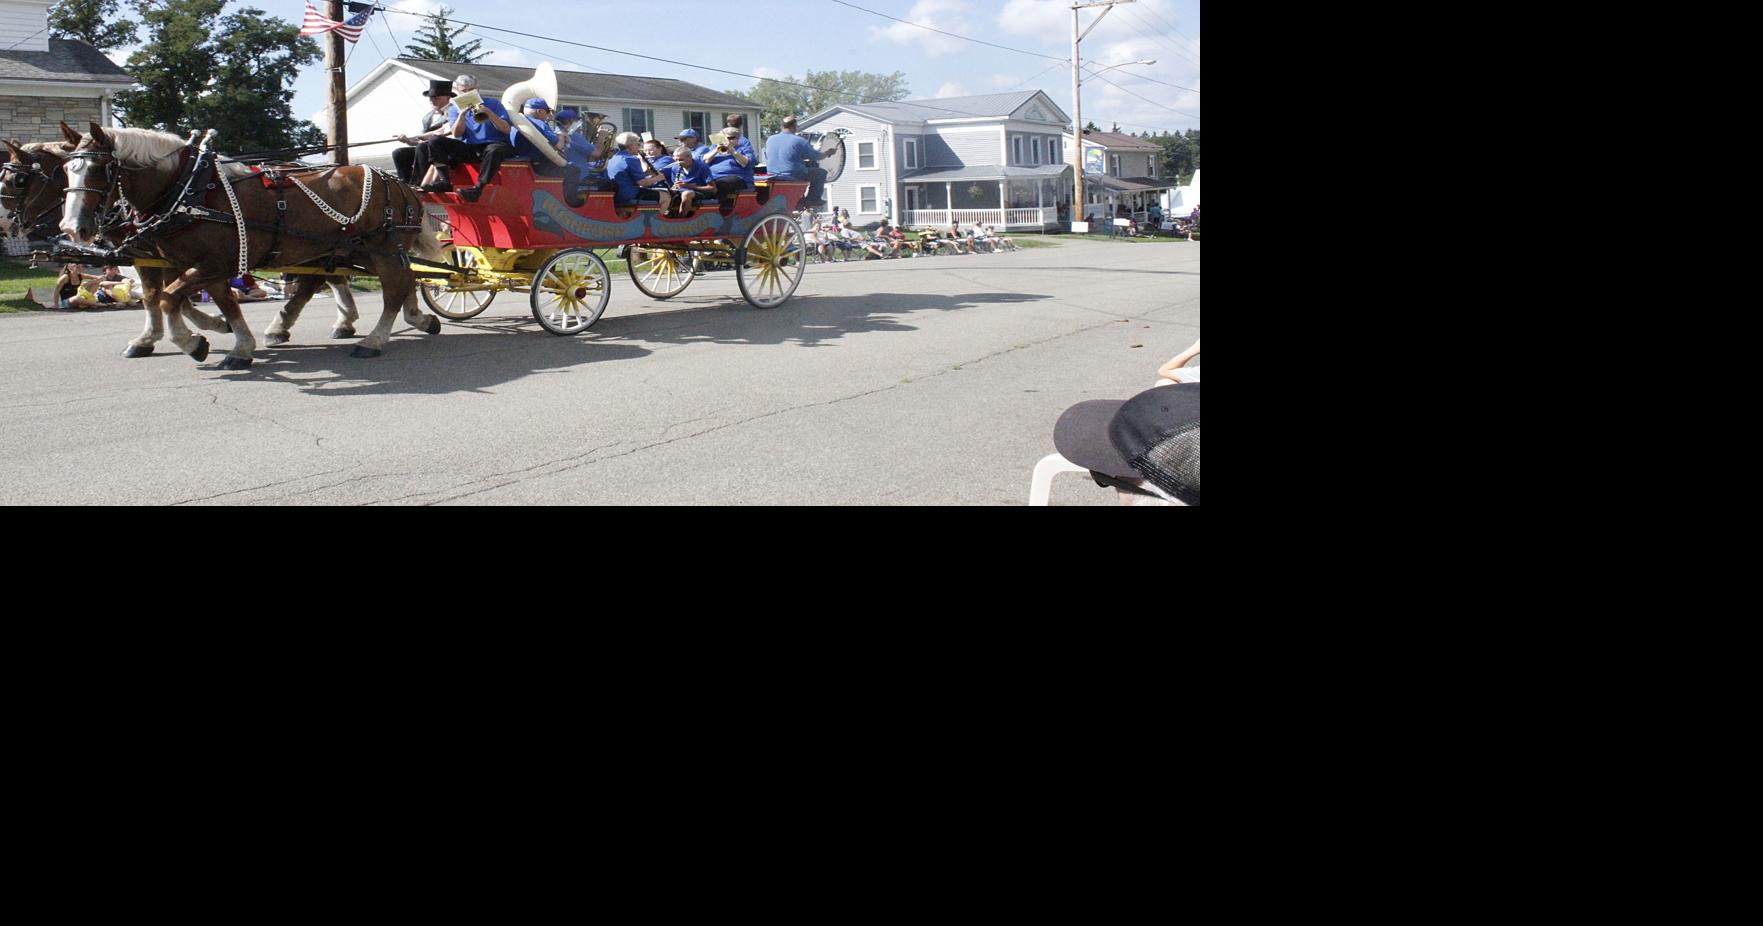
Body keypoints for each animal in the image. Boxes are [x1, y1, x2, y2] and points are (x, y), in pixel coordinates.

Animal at [1, 127, 359, 359]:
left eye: (18, 180)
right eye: (66, 171)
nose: (72, 228)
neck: (183, 189)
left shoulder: (200, 260)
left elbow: (174, 297)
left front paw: (204, 335)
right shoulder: (159, 256)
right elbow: (161, 296)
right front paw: (172, 335)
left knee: (317, 282)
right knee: (322, 280)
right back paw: (310, 324)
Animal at [61, 122, 447, 368]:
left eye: (100, 169)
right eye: (67, 170)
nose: (73, 228)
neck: (188, 189)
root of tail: (401, 185)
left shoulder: (209, 264)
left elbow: (169, 298)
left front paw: (195, 343)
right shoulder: (196, 264)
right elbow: (195, 300)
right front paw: (233, 341)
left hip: (381, 247)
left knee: (393, 286)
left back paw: (374, 340)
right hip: (357, 249)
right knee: (398, 279)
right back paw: (415, 319)